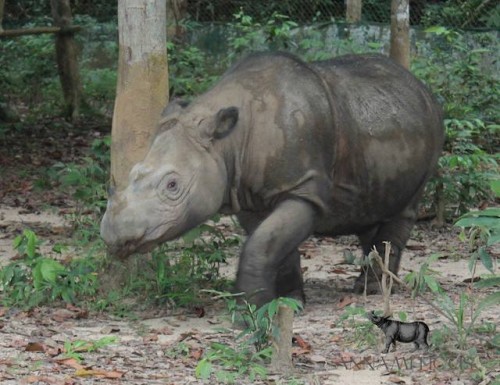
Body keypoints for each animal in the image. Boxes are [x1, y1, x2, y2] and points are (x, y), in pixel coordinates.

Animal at [99, 51, 444, 304]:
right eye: (132, 173)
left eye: (172, 186)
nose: (113, 234)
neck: (227, 142)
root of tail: (419, 85)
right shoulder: (246, 194)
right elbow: (273, 244)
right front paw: (288, 301)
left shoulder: (302, 188)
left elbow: (262, 244)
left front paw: (250, 309)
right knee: (369, 212)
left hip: (432, 128)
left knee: (404, 209)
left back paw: (372, 291)